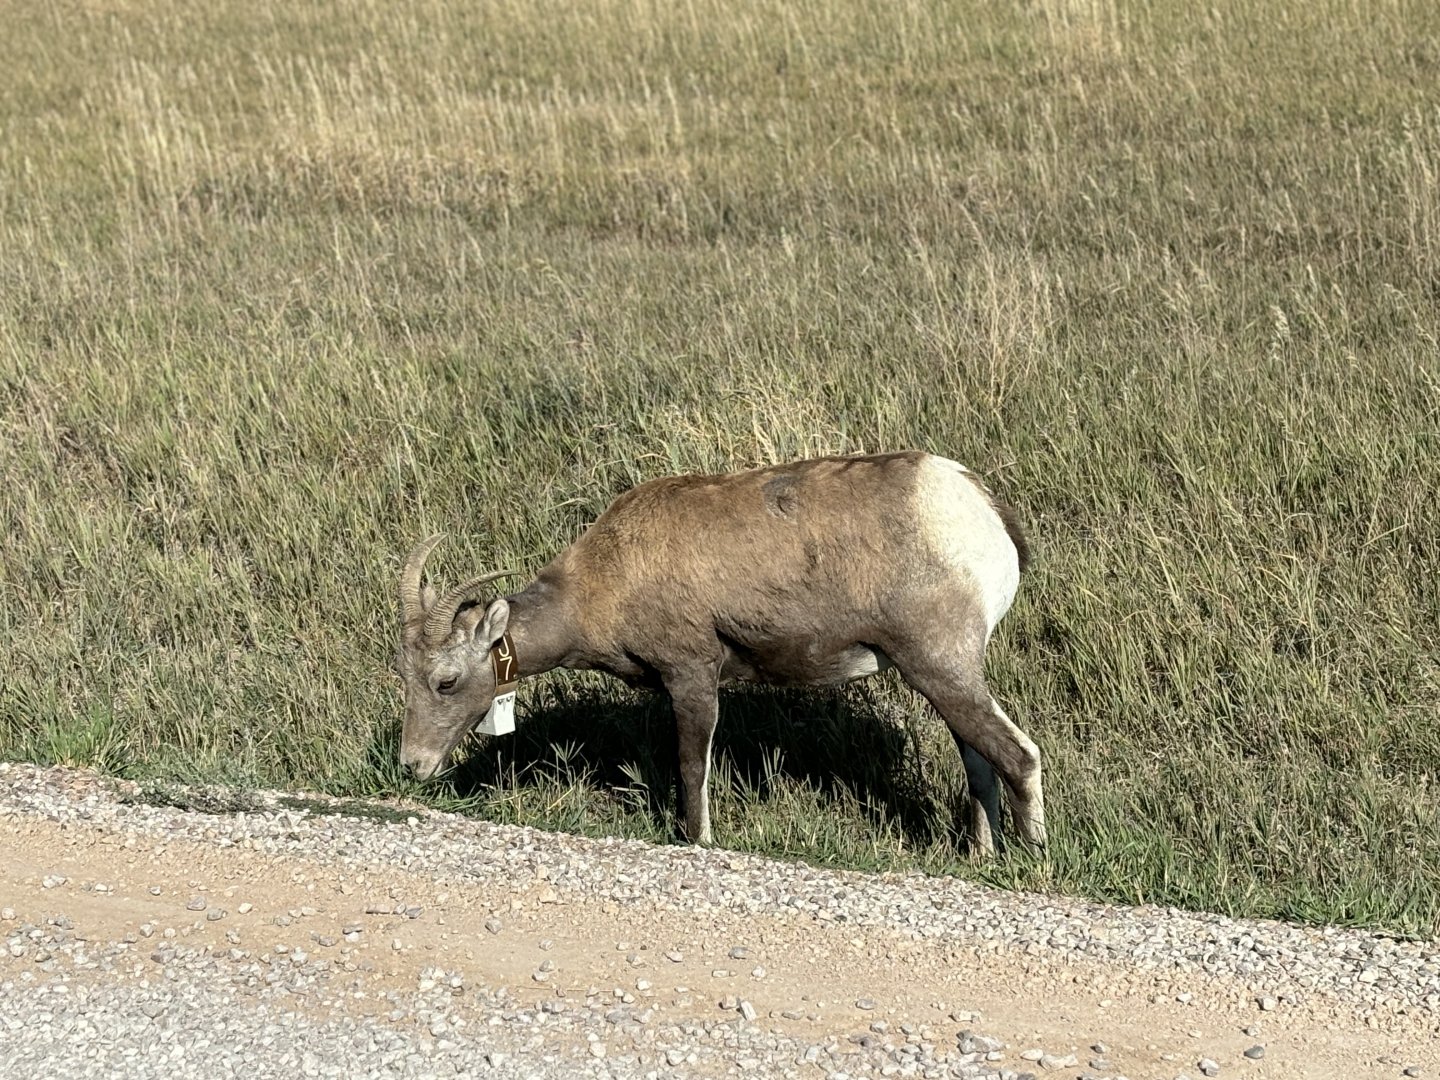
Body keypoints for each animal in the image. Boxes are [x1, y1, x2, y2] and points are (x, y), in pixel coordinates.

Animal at [395, 450, 1042, 855]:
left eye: (446, 681)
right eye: (406, 674)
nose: (411, 766)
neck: (606, 577)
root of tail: (981, 508)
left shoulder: (692, 676)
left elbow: (691, 765)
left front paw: (699, 837)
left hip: (939, 664)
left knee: (1020, 754)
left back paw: (1031, 860)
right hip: (942, 676)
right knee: (979, 757)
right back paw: (980, 856)